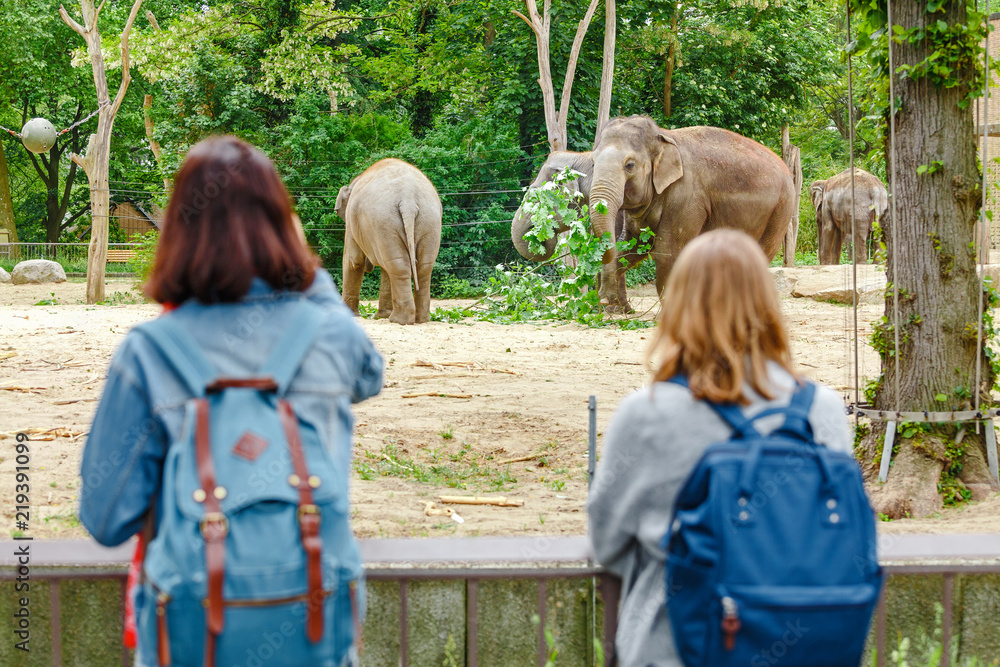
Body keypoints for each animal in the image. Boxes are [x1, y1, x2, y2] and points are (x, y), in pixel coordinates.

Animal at [335, 158, 442, 324]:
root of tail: (408, 199)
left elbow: (353, 260)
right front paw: (381, 316)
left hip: (384, 220)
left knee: (398, 265)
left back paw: (399, 320)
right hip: (429, 221)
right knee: (421, 267)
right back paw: (420, 319)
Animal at [586, 115, 796, 311]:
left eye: (630, 165)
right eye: (593, 163)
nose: (602, 300)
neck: (663, 135)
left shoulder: (687, 197)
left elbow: (668, 253)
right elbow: (634, 246)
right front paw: (607, 302)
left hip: (781, 209)